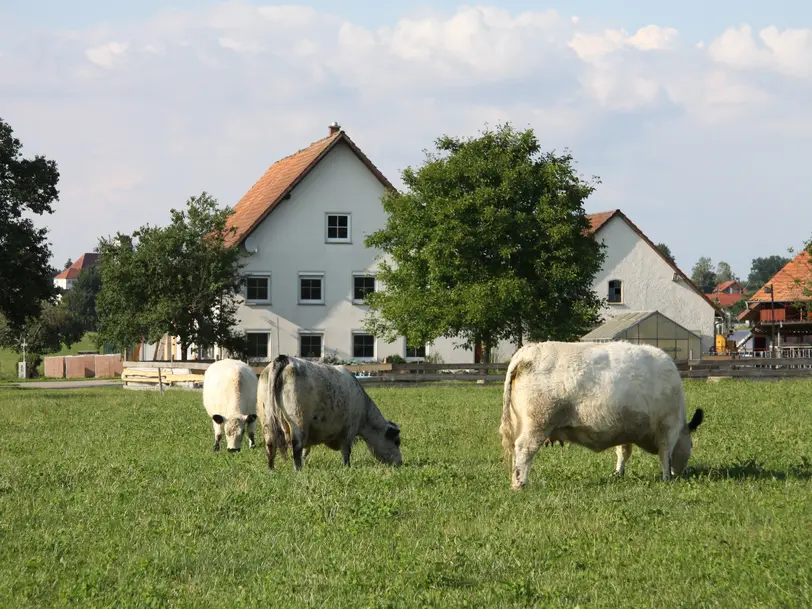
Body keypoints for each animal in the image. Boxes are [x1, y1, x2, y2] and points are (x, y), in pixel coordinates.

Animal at [256, 354, 402, 468]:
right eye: (396, 442)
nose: (400, 463)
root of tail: (284, 359)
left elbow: (306, 450)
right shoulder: (349, 431)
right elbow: (346, 452)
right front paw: (347, 467)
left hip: (267, 420)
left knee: (270, 445)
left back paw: (271, 470)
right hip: (298, 421)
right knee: (296, 447)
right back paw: (298, 469)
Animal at [498, 340, 700, 492]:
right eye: (691, 445)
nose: (681, 473)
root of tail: (529, 351)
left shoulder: (624, 428)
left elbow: (623, 452)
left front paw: (618, 473)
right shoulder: (668, 426)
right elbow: (665, 454)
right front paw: (666, 477)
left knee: (516, 451)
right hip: (539, 423)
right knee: (525, 450)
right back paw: (520, 484)